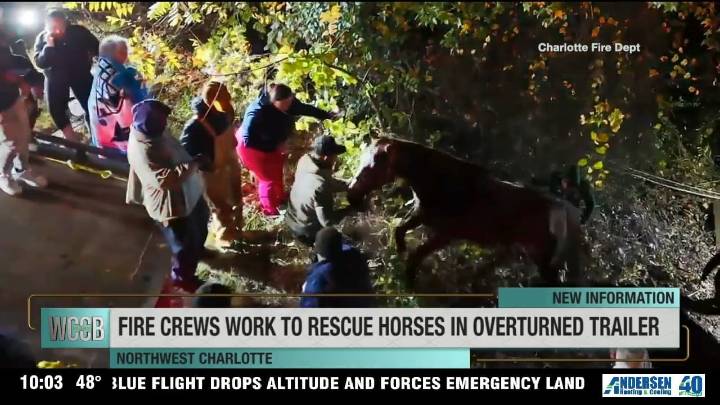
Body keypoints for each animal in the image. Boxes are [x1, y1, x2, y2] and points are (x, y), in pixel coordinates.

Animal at [347, 137, 586, 288]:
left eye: (371, 167)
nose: (351, 194)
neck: (442, 184)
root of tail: (564, 210)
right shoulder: (421, 215)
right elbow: (399, 231)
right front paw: (400, 254)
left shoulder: (444, 235)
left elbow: (415, 257)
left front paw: (410, 285)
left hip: (542, 256)